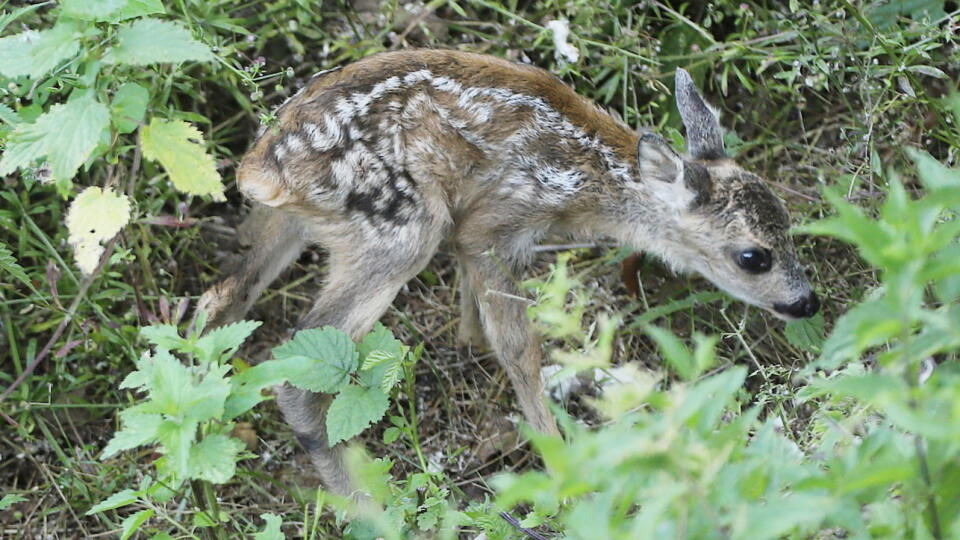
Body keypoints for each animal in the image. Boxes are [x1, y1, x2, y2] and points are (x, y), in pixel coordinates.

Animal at [199, 48, 820, 496]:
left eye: (789, 225)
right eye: (752, 256)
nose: (807, 302)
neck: (589, 183)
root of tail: (259, 170)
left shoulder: (476, 235)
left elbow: (477, 315)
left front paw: (471, 343)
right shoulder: (495, 225)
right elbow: (520, 346)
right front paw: (559, 460)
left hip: (301, 223)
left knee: (223, 294)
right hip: (400, 231)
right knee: (296, 375)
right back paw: (367, 504)